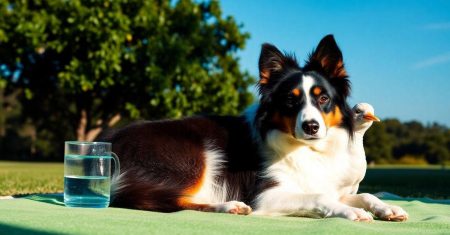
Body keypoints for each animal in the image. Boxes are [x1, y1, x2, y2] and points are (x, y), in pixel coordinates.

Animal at [102, 34, 408, 220]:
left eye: (323, 98)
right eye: (290, 100)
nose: (311, 126)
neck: (306, 150)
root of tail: (111, 140)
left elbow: (364, 194)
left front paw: (387, 207)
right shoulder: (266, 195)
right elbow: (318, 196)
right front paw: (348, 212)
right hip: (197, 158)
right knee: (165, 199)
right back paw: (230, 205)